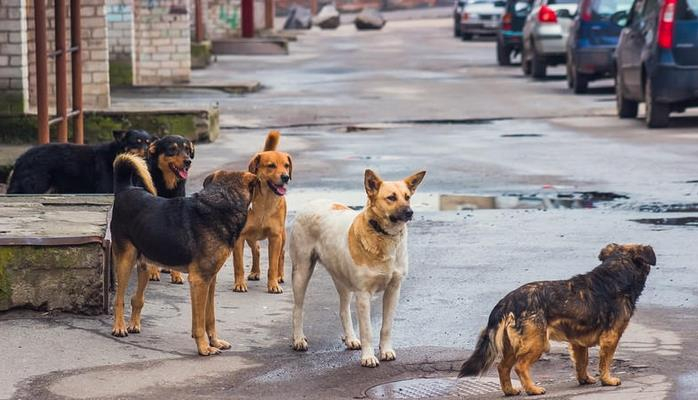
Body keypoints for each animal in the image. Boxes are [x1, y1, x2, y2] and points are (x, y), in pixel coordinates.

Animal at [7, 130, 152, 195]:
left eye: (148, 142)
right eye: (137, 141)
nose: (147, 151)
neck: (116, 154)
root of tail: (21, 158)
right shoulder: (105, 189)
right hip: (34, 186)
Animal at [110, 154, 256, 356]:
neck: (222, 202)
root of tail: (126, 189)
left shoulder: (210, 280)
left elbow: (210, 317)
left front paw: (215, 342)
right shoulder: (199, 281)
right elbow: (199, 323)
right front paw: (204, 347)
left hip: (145, 264)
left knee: (136, 298)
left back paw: (134, 324)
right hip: (126, 260)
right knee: (119, 299)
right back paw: (119, 327)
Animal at [231, 131, 290, 294]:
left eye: (286, 165)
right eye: (271, 166)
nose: (286, 177)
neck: (265, 202)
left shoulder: (275, 237)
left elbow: (273, 264)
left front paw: (273, 284)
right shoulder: (239, 238)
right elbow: (238, 264)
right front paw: (239, 284)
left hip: (282, 235)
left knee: (281, 254)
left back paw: (280, 276)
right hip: (251, 236)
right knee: (256, 249)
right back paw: (255, 272)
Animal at [288, 167, 424, 368]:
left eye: (407, 197)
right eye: (391, 197)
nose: (410, 212)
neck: (382, 235)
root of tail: (311, 203)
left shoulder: (393, 290)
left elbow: (386, 327)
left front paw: (386, 350)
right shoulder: (363, 295)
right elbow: (367, 331)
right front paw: (368, 357)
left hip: (342, 279)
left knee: (343, 310)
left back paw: (350, 338)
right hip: (302, 272)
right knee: (298, 308)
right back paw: (298, 339)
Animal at [460, 242, 656, 396]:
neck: (617, 272)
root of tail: (507, 301)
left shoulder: (578, 342)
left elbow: (582, 362)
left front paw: (585, 379)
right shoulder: (611, 337)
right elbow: (605, 362)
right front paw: (607, 380)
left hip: (511, 346)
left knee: (502, 367)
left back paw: (510, 391)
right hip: (537, 343)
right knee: (520, 366)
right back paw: (533, 389)